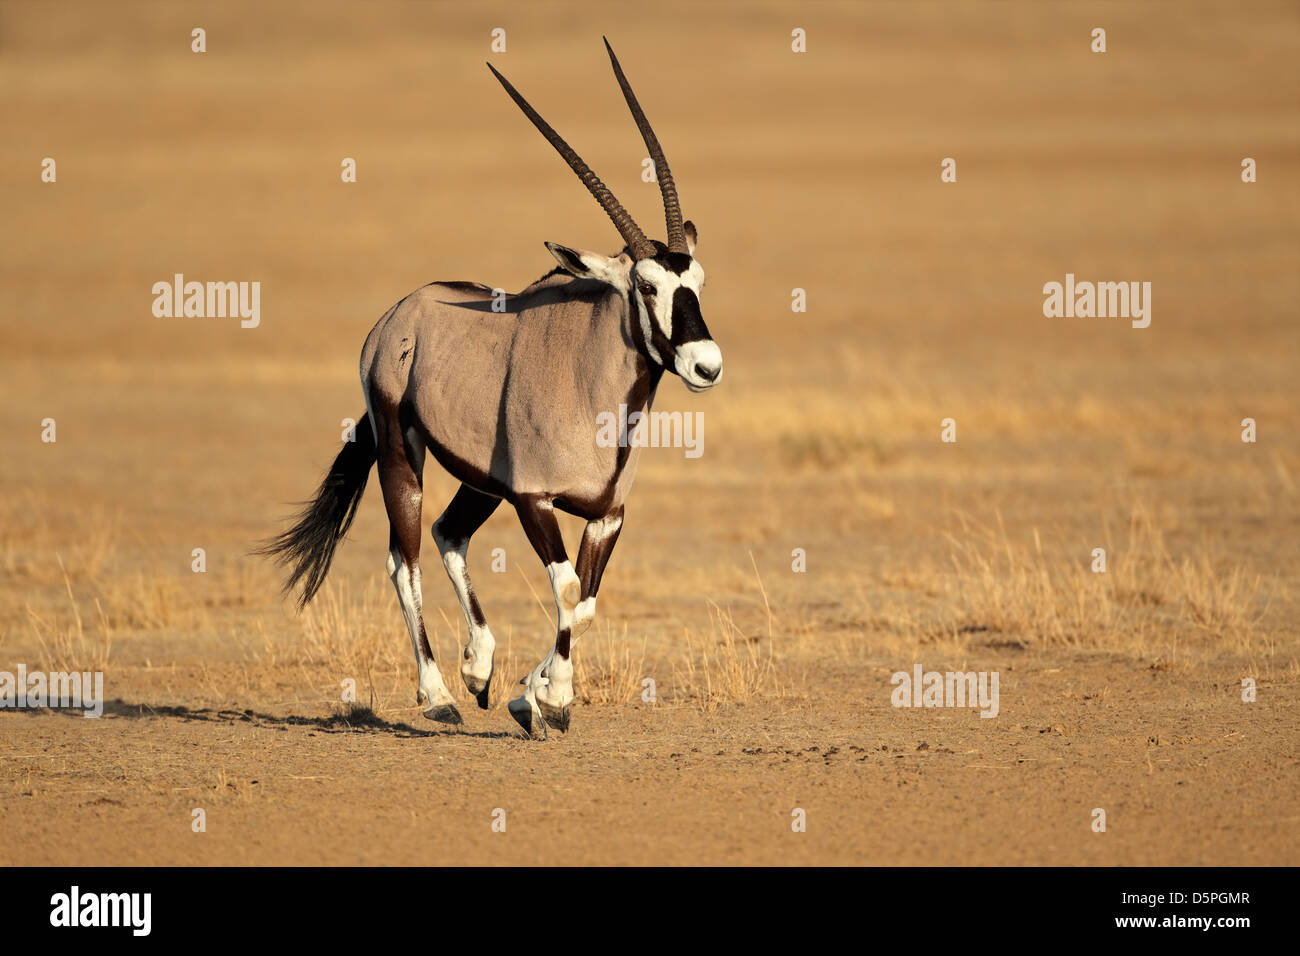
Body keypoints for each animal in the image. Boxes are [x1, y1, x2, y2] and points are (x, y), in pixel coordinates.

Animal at [261, 39, 722, 738]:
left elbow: (584, 603)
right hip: (403, 454)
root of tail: (398, 315)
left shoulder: (606, 516)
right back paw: (439, 694)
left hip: (481, 482)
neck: (593, 384)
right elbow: (567, 591)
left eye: (696, 280)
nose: (706, 365)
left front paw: (531, 695)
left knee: (450, 534)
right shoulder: (534, 500)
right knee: (406, 558)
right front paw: (548, 699)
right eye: (646, 286)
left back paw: (479, 667)